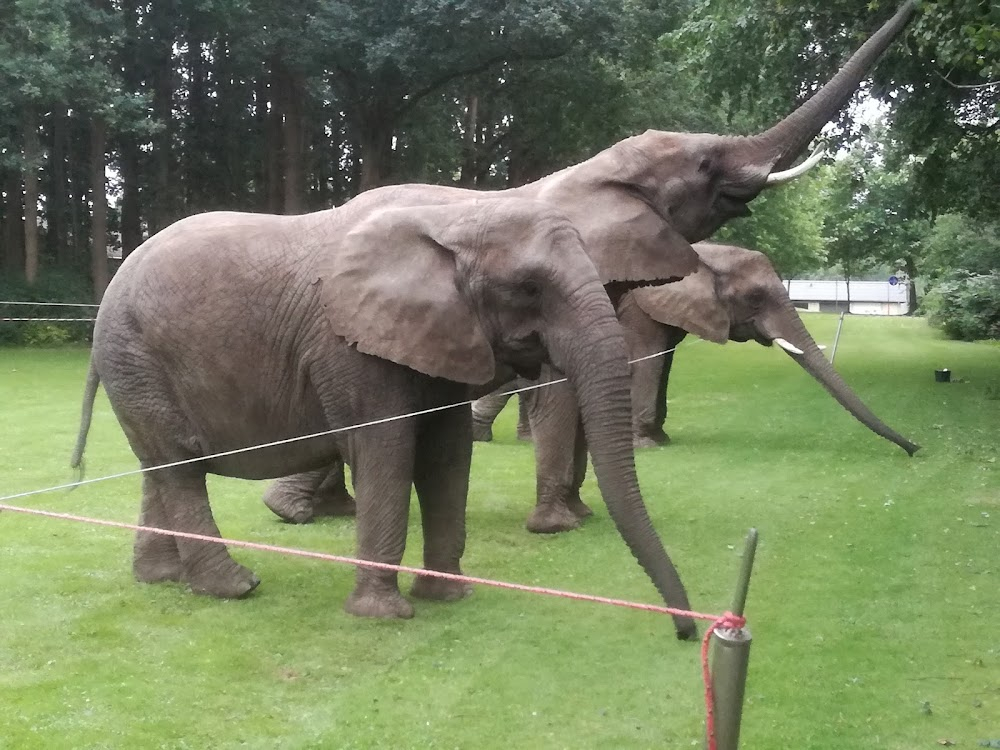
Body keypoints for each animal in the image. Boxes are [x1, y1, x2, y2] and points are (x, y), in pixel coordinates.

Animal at [68, 195, 696, 640]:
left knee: (161, 463)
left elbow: (446, 456)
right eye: (528, 288)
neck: (454, 220)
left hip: (135, 367)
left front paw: (449, 598)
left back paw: (163, 580)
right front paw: (383, 616)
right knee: (179, 465)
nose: (686, 633)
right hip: (135, 355)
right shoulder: (350, 348)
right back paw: (236, 588)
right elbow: (387, 451)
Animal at [262, 1, 916, 528]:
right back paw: (301, 514)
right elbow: (570, 385)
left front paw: (580, 511)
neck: (593, 170)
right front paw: (561, 524)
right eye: (705, 164)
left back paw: (312, 512)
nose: (915, 453)